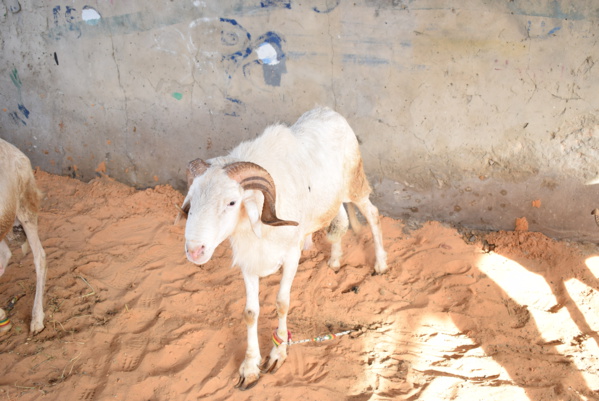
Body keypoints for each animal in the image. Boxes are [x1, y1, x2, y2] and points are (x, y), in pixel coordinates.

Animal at [183, 106, 390, 388]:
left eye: (232, 202)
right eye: (191, 199)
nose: (194, 250)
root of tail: (328, 110)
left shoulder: (290, 257)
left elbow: (282, 303)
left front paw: (277, 354)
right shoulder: (249, 262)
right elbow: (250, 312)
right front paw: (250, 367)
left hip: (355, 186)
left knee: (373, 214)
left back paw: (380, 263)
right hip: (332, 198)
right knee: (340, 220)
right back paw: (334, 260)